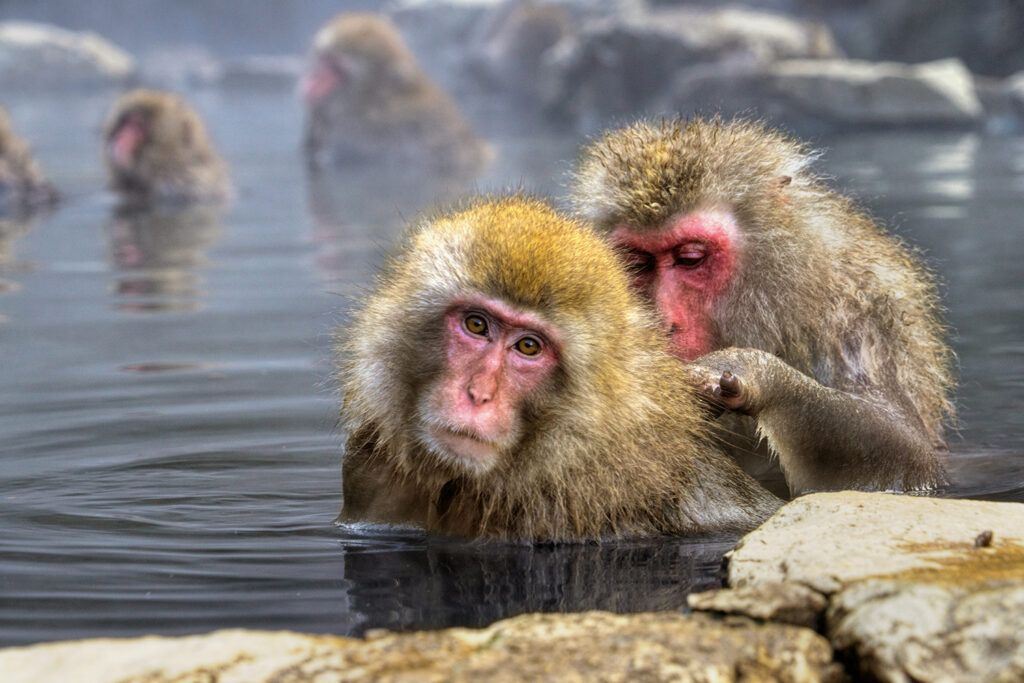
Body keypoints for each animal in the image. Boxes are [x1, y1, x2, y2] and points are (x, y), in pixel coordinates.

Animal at [571, 117, 955, 496]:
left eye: (690, 258)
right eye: (636, 263)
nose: (663, 323)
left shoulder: (859, 307)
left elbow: (908, 452)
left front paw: (755, 370)